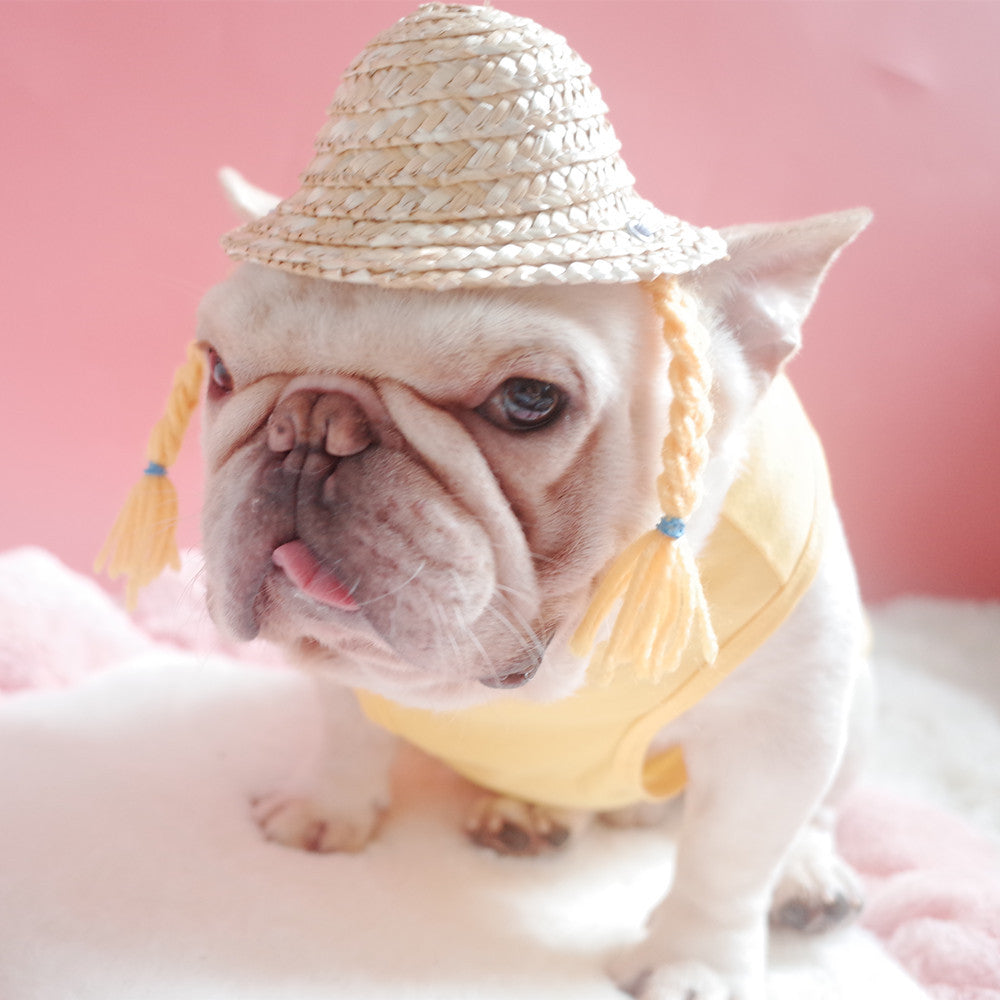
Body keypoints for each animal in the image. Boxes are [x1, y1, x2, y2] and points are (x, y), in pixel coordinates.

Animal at [193, 166, 868, 1000]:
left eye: (528, 401)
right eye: (219, 371)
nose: (311, 425)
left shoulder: (780, 725)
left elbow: (730, 858)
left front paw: (693, 961)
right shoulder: (344, 673)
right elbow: (348, 731)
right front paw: (328, 806)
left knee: (820, 813)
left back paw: (808, 877)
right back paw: (527, 815)